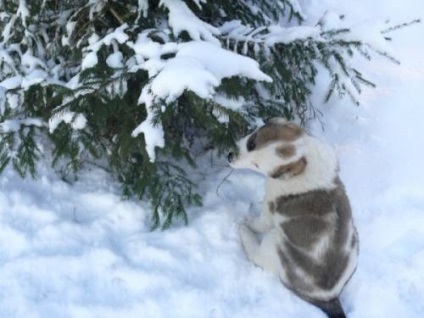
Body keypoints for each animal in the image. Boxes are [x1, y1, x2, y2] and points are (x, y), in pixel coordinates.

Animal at [229, 118, 358, 318]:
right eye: (251, 143)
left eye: (257, 165)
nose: (230, 156)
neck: (308, 157)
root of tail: (329, 297)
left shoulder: (269, 208)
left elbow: (260, 222)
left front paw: (248, 220)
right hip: (355, 238)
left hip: (274, 241)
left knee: (256, 256)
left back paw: (244, 232)